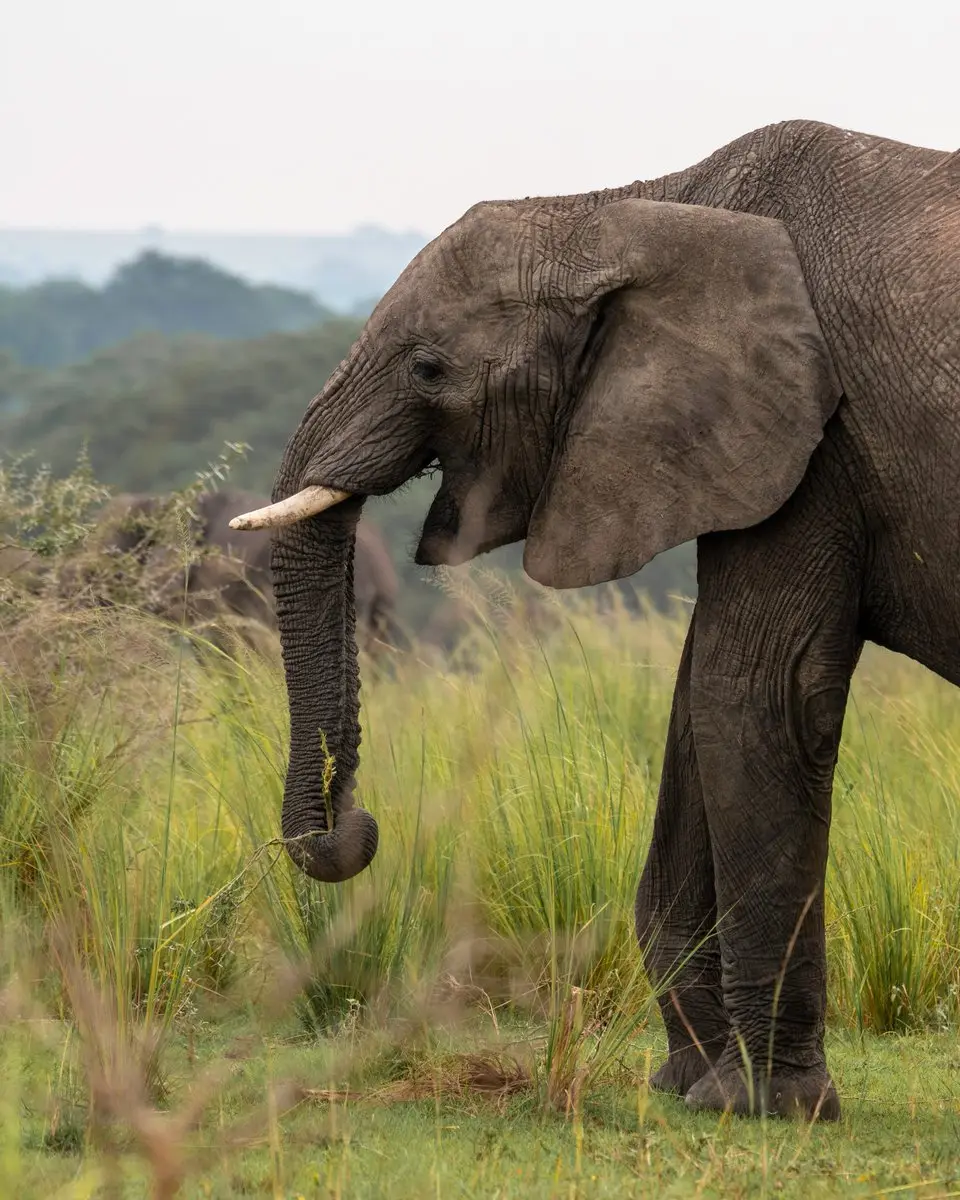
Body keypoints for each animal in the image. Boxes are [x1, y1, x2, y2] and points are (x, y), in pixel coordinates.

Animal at [227, 119, 960, 1123]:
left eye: (428, 368)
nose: (360, 825)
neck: (630, 209)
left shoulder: (814, 443)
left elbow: (757, 697)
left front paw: (770, 1106)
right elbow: (697, 713)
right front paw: (694, 1087)